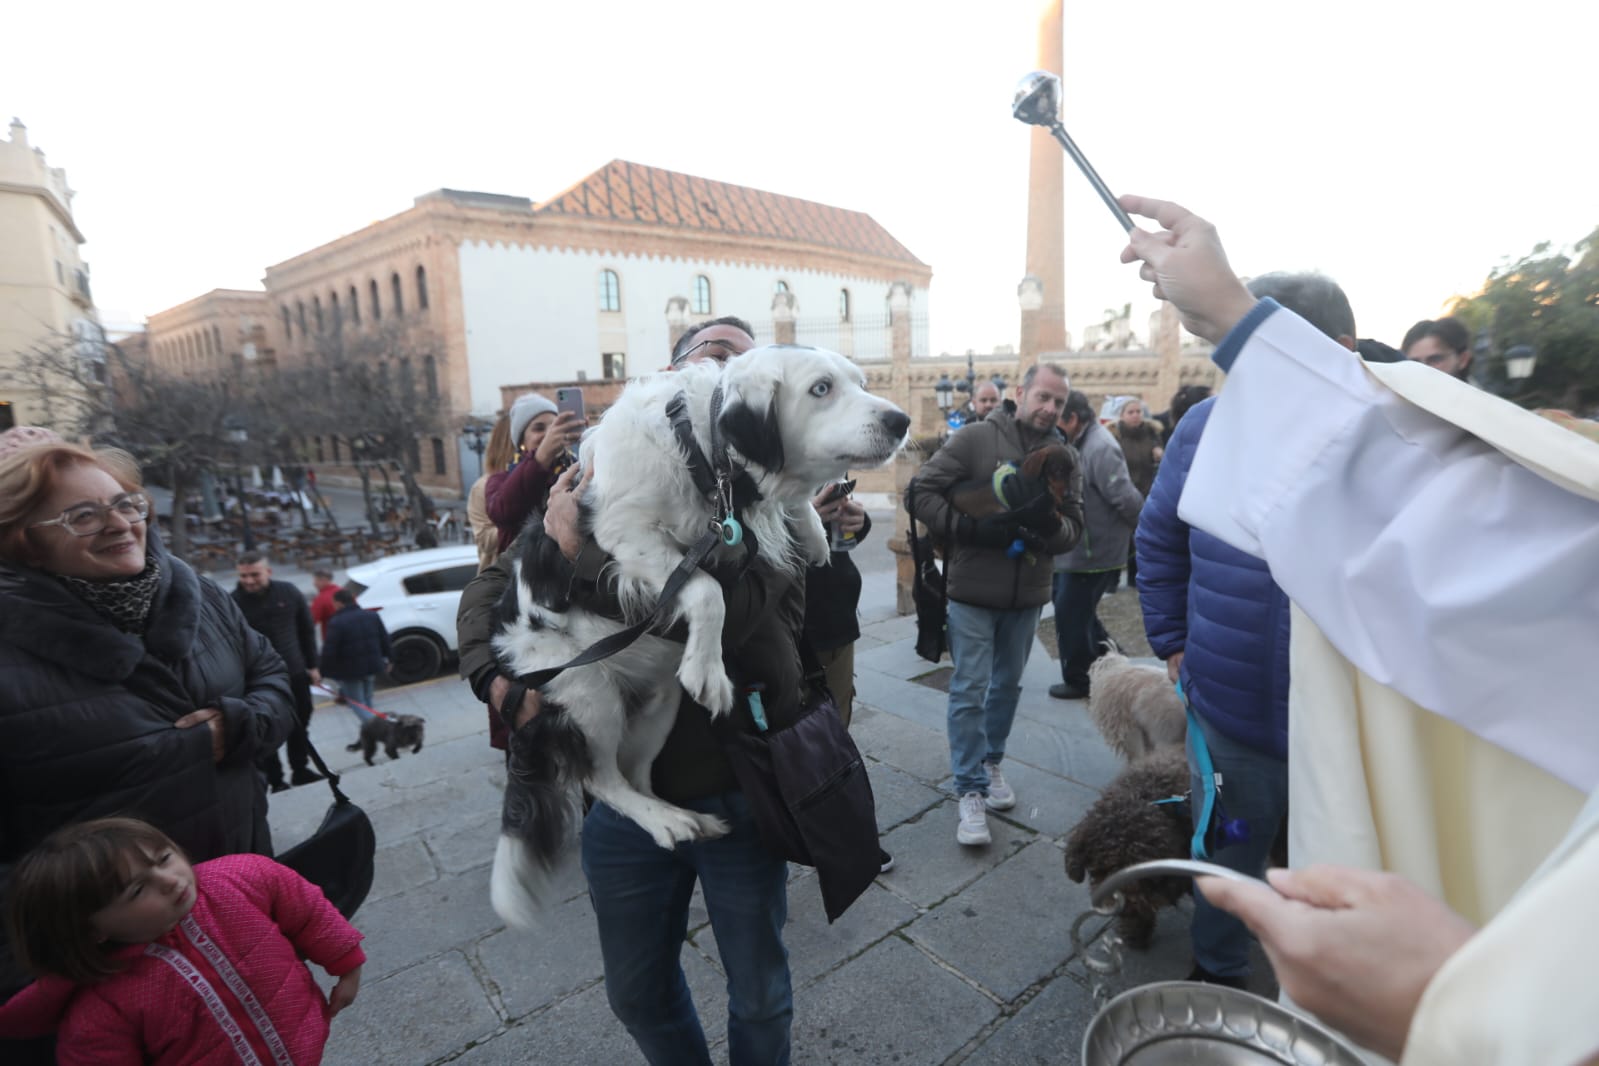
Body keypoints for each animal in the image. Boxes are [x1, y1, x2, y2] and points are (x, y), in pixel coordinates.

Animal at [486, 348, 914, 926]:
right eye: (821, 389)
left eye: (861, 382)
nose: (901, 421)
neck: (702, 454)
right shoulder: (628, 535)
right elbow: (708, 590)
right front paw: (708, 668)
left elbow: (787, 516)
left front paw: (813, 533)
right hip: (588, 693)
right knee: (602, 778)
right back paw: (662, 819)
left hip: (658, 704)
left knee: (634, 770)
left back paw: (678, 818)